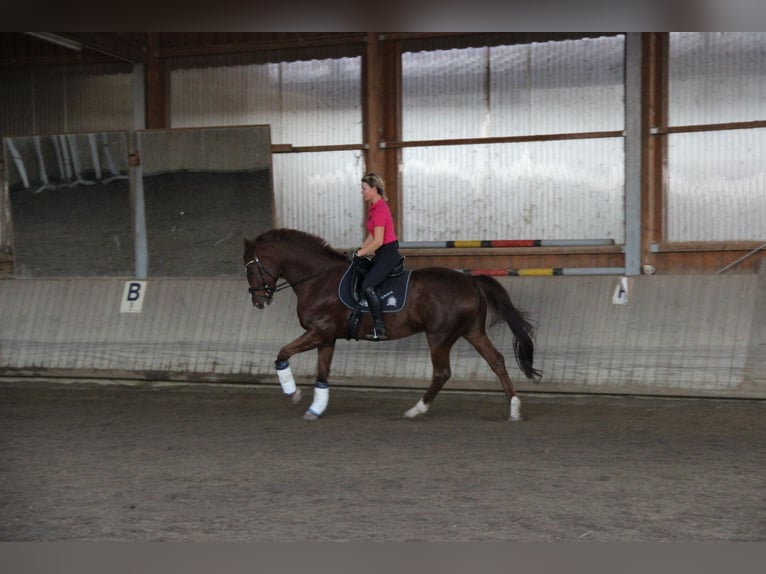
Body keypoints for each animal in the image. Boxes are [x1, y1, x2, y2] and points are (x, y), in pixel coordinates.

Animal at [243, 230, 544, 424]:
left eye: (250, 268)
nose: (258, 301)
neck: (318, 278)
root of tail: (471, 281)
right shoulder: (327, 337)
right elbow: (322, 373)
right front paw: (316, 408)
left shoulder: (319, 332)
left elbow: (283, 353)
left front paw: (293, 394)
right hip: (473, 332)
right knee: (497, 361)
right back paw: (514, 409)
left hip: (439, 336)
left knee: (442, 373)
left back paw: (416, 410)